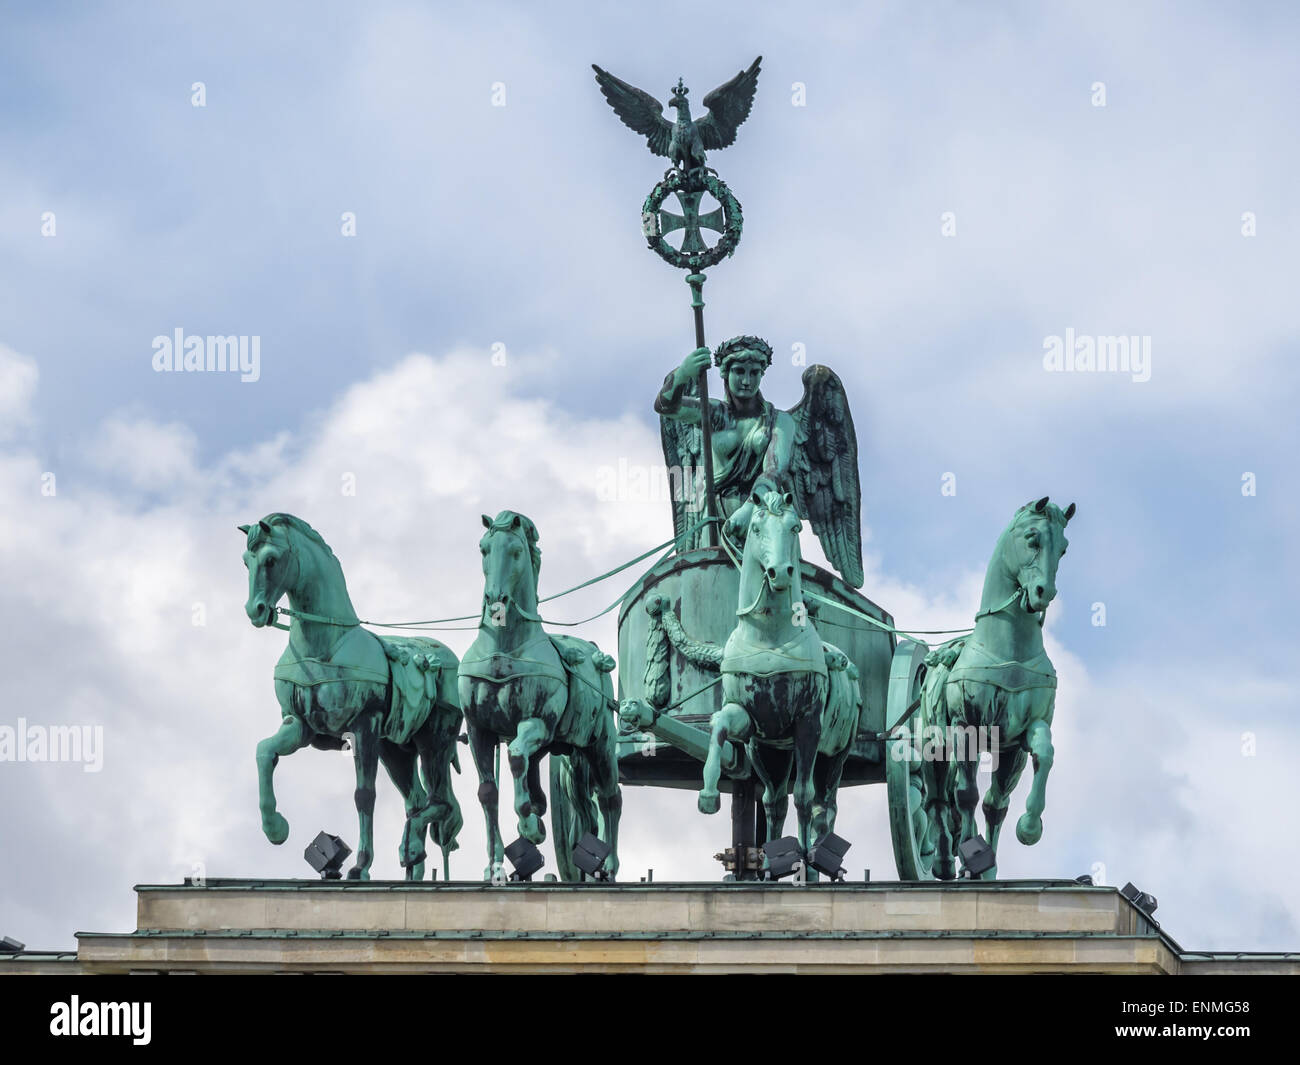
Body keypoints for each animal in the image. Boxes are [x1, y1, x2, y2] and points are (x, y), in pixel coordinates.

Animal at [241, 517, 465, 884]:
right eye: (246, 562)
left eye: (271, 560)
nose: (255, 611)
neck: (324, 644)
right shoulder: (299, 726)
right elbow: (264, 752)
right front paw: (276, 829)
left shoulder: (364, 728)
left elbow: (364, 795)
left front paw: (360, 866)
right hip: (396, 751)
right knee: (418, 802)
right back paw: (412, 863)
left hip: (434, 740)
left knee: (440, 803)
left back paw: (409, 848)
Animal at [457, 512, 618, 879]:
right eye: (484, 548)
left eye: (516, 551)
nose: (495, 599)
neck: (504, 648)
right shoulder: (479, 730)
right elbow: (488, 791)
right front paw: (495, 865)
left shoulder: (537, 723)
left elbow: (516, 757)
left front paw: (530, 827)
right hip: (565, 752)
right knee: (578, 806)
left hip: (600, 744)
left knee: (610, 798)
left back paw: (610, 864)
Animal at [920, 496, 1071, 879]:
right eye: (1032, 538)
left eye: (1064, 548)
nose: (1043, 593)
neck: (1008, 650)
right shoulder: (965, 728)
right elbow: (965, 797)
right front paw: (970, 856)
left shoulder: (1019, 740)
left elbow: (1004, 795)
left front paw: (1028, 829)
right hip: (935, 749)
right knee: (938, 801)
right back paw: (945, 860)